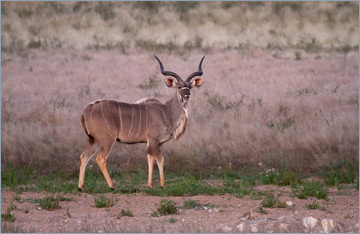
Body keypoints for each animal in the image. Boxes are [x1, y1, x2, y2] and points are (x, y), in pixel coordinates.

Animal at [77, 55, 204, 191]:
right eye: (179, 87)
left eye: (189, 87)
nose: (187, 95)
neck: (167, 112)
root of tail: (86, 110)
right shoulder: (152, 140)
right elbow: (151, 159)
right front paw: (150, 185)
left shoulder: (160, 143)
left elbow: (161, 160)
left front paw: (162, 185)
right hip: (107, 140)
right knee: (100, 159)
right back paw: (112, 186)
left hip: (96, 141)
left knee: (84, 156)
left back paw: (81, 187)